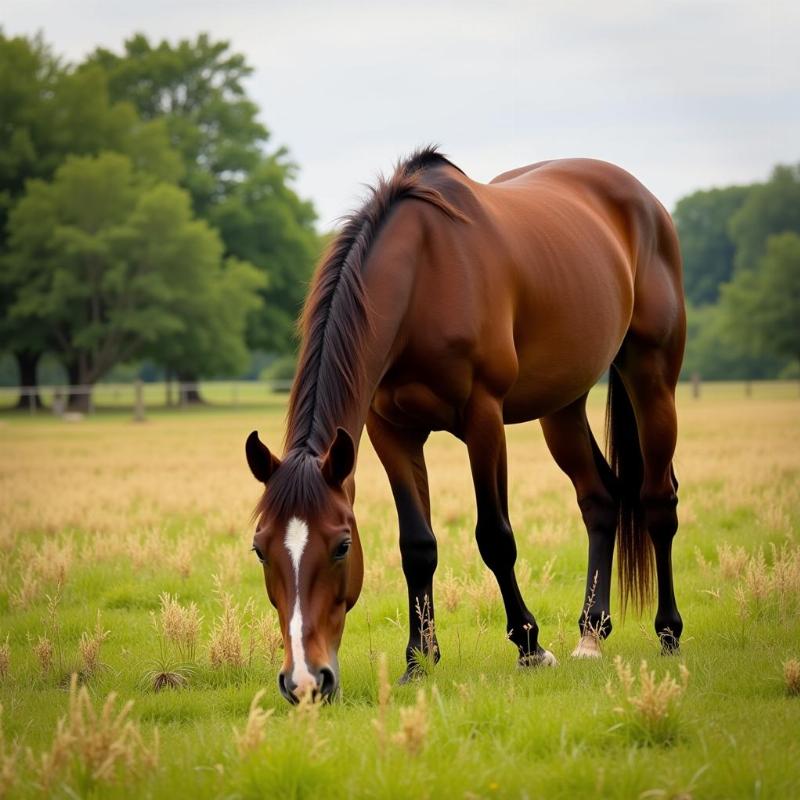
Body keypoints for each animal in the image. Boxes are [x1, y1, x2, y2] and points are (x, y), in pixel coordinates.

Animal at [247, 147, 684, 704]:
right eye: (260, 549)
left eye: (342, 545)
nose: (305, 681)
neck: (423, 276)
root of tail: (643, 200)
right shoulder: (390, 431)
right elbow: (417, 546)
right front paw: (419, 660)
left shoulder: (484, 419)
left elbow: (495, 537)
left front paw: (530, 645)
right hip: (562, 406)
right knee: (600, 499)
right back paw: (590, 634)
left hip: (652, 377)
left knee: (657, 501)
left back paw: (668, 630)